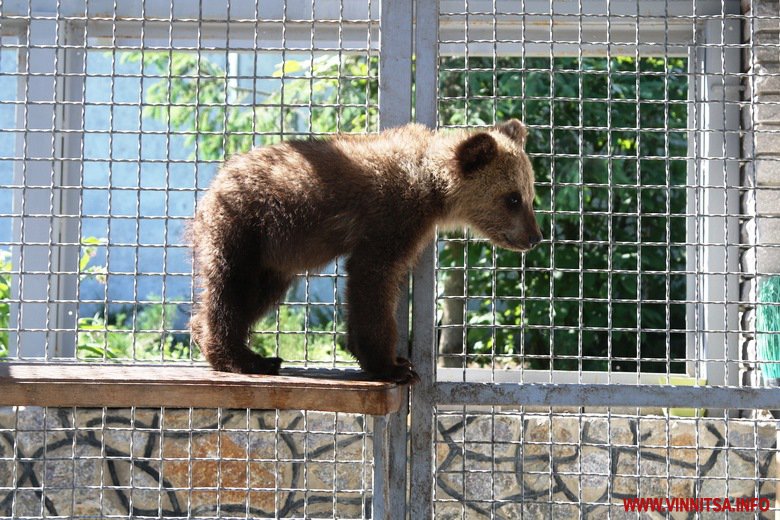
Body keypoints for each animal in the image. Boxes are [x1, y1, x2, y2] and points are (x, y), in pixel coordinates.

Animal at [190, 120, 544, 384]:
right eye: (512, 198)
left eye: (530, 194)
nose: (535, 237)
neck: (432, 187)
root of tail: (216, 181)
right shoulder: (390, 219)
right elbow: (373, 280)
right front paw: (394, 365)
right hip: (245, 229)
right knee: (230, 290)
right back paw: (244, 358)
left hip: (272, 258)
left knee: (256, 295)